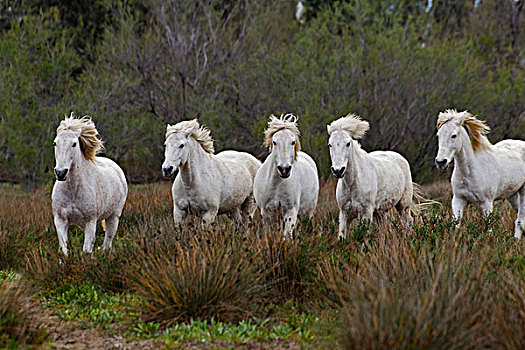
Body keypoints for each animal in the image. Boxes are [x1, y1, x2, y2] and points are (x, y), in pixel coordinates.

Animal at [51, 113, 128, 256]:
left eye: (74, 144)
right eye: (55, 143)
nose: (60, 173)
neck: (73, 190)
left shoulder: (90, 222)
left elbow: (86, 250)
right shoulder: (60, 220)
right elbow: (64, 250)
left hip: (113, 216)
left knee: (107, 242)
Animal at [434, 110, 524, 238]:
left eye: (454, 135)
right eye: (438, 135)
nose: (441, 162)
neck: (469, 173)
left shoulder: (486, 203)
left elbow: (488, 228)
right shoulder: (458, 200)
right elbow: (456, 224)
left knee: (520, 219)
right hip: (512, 195)